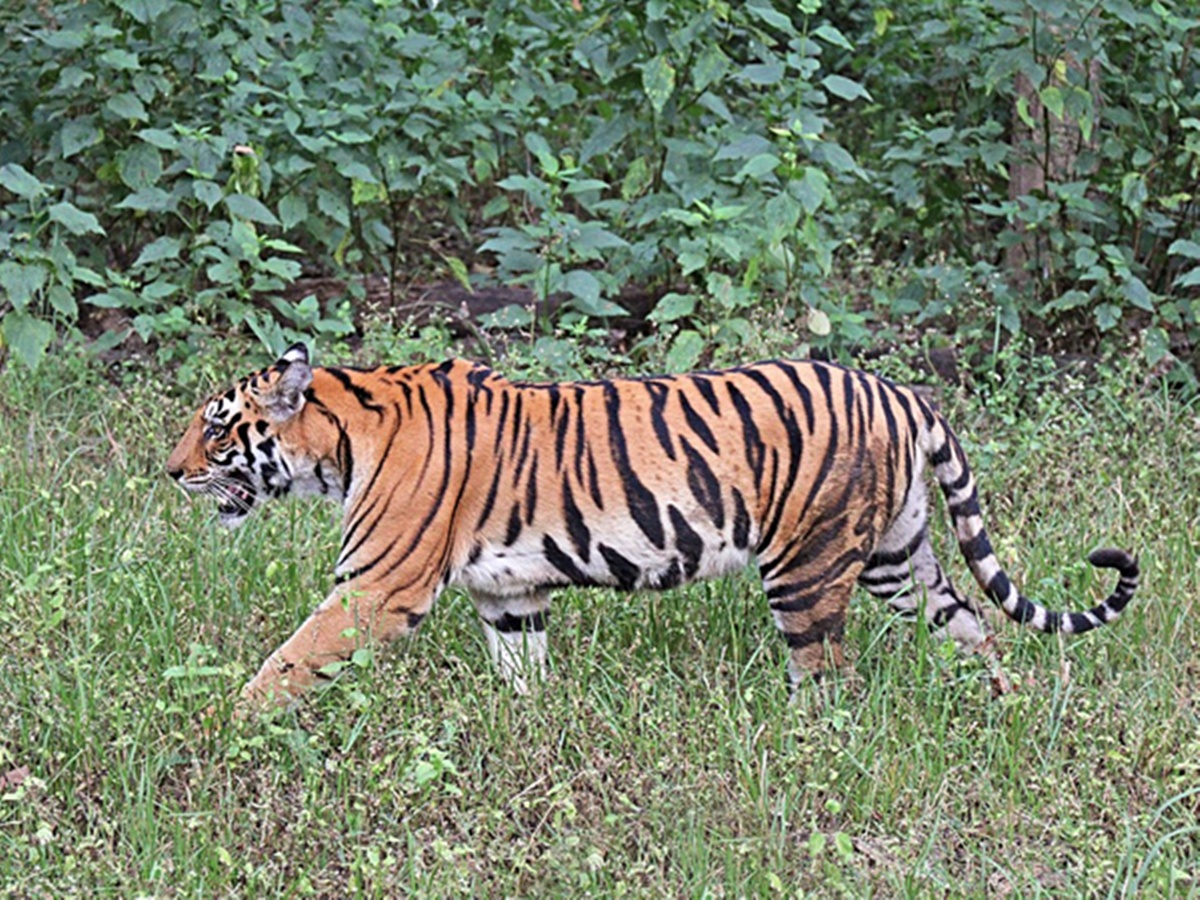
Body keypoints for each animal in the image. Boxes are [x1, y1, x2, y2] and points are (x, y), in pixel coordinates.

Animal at [166, 343, 1138, 710]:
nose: (169, 471)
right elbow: (524, 674)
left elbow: (288, 661)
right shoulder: (508, 595)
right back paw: (1004, 710)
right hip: (898, 557)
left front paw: (224, 724)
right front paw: (529, 735)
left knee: (828, 680)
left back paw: (806, 749)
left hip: (808, 568)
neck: (340, 440)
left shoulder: (376, 589)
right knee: (970, 627)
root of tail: (899, 388)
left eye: (216, 426)